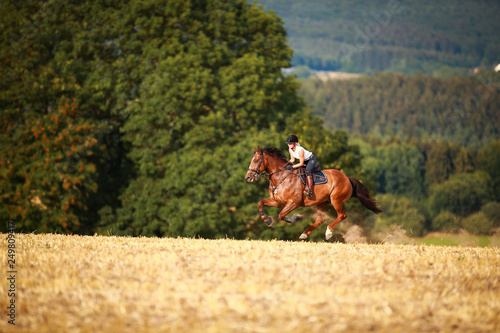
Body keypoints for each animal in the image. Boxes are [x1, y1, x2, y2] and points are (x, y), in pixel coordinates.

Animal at [244, 147, 380, 240]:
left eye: (256, 160)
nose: (248, 177)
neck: (281, 176)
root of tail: (347, 178)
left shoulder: (294, 202)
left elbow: (281, 215)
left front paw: (296, 217)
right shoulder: (277, 202)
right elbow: (260, 203)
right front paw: (267, 220)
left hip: (336, 199)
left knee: (342, 215)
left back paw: (328, 233)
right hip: (322, 202)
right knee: (321, 219)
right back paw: (304, 234)